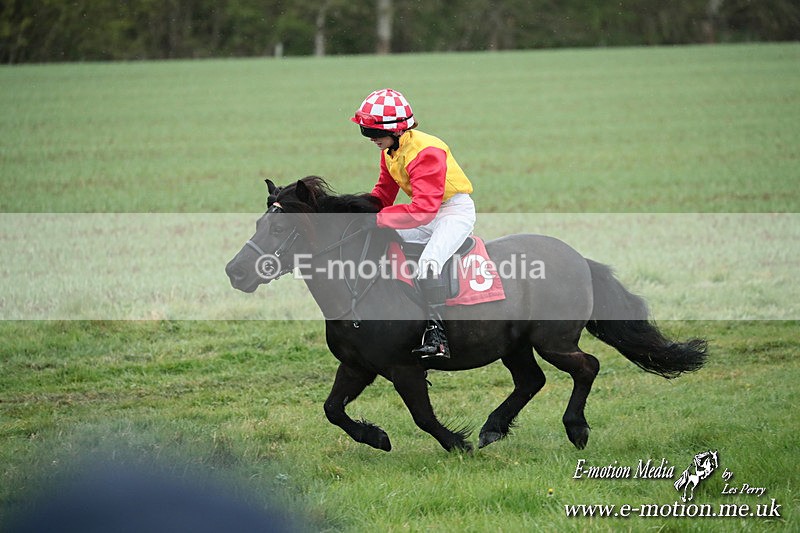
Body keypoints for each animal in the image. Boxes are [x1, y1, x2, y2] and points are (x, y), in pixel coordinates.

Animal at [225, 176, 707, 452]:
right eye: (258, 225)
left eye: (280, 227)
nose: (236, 271)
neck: (358, 283)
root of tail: (579, 259)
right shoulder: (358, 366)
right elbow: (332, 409)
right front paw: (376, 437)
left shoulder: (404, 367)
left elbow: (422, 415)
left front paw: (455, 444)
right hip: (515, 345)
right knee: (531, 381)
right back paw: (493, 428)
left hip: (552, 340)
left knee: (587, 366)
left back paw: (575, 429)